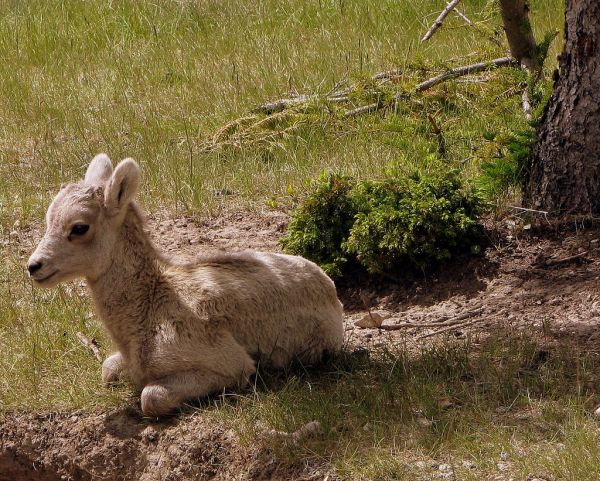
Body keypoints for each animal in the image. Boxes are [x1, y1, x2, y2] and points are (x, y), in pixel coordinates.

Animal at [28, 155, 344, 416]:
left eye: (80, 227)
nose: (34, 266)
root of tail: (329, 287)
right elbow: (107, 370)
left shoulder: (229, 363)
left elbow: (150, 398)